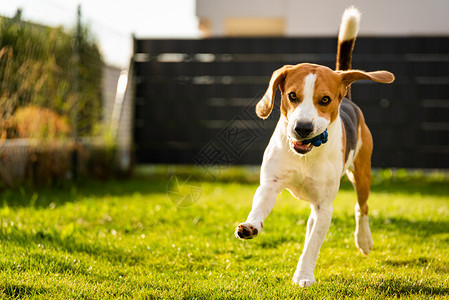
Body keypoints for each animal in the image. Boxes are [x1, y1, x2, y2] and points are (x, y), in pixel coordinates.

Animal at [234, 7, 392, 288]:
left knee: (361, 208)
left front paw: (304, 276)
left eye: (325, 100)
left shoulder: (325, 207)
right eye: (292, 96)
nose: (303, 128)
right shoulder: (270, 184)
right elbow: (259, 207)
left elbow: (312, 246)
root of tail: (348, 98)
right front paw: (251, 226)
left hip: (361, 174)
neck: (305, 155)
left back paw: (363, 239)